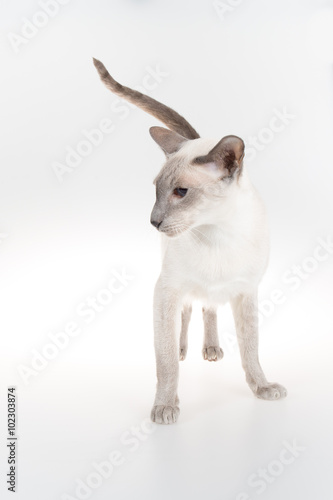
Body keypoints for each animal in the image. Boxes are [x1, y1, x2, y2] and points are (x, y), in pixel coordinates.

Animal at [92, 58, 286, 426]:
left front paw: (263, 388)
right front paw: (166, 406)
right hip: (175, 288)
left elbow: (251, 349)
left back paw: (210, 349)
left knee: (208, 309)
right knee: (187, 315)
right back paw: (186, 349)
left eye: (181, 192)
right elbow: (166, 360)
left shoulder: (246, 292)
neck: (216, 233)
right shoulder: (166, 291)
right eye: (156, 190)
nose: (153, 221)